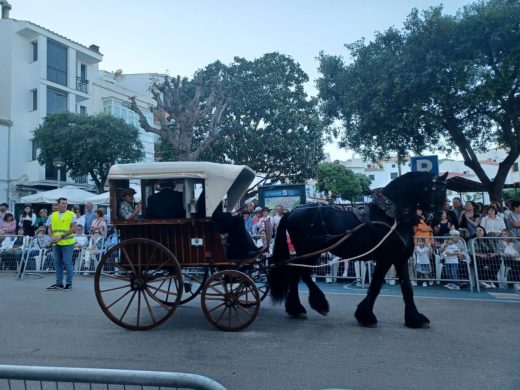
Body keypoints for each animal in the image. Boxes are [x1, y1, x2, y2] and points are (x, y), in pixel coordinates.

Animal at [268, 172, 446, 328]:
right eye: (435, 191)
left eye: (445, 192)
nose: (437, 219)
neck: (391, 216)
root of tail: (293, 211)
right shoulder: (385, 258)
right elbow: (376, 285)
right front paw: (366, 315)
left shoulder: (400, 258)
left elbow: (407, 288)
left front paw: (414, 318)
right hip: (310, 250)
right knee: (302, 272)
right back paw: (319, 303)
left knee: (296, 272)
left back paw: (296, 308)